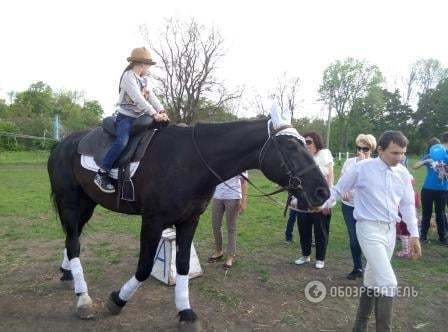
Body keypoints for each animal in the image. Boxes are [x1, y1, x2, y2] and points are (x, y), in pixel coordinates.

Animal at [48, 116, 328, 330]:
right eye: (290, 147)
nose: (323, 192)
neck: (190, 160)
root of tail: (63, 143)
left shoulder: (189, 220)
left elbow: (182, 264)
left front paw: (185, 312)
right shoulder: (153, 221)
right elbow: (144, 267)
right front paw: (118, 300)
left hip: (86, 204)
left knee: (72, 239)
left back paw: (68, 273)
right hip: (70, 203)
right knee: (74, 244)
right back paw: (83, 299)